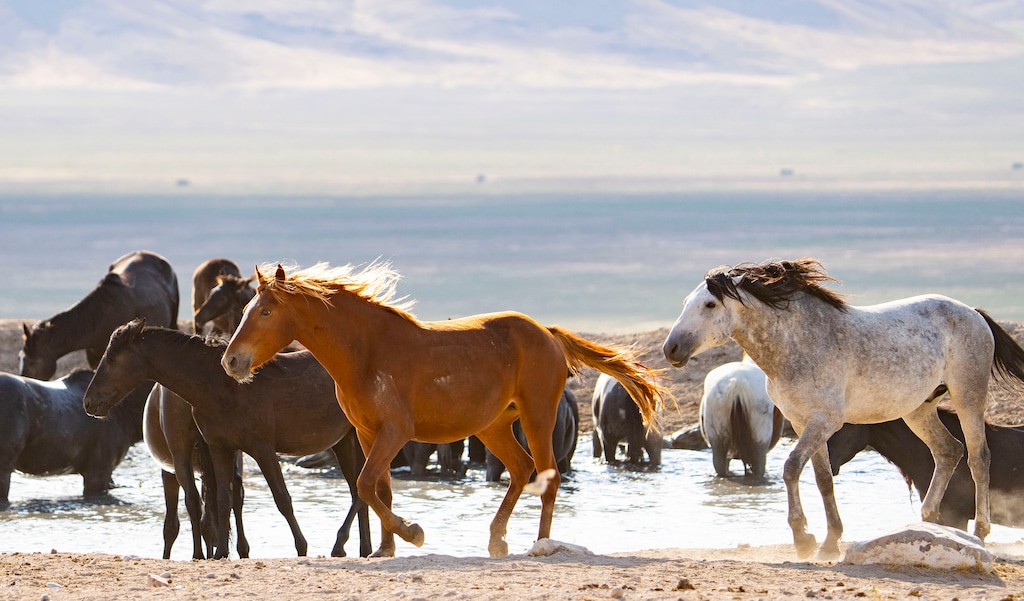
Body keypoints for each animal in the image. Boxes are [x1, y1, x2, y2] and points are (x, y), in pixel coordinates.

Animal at [83, 319, 372, 559]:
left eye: (112, 359)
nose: (89, 401)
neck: (223, 387)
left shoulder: (263, 449)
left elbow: (282, 499)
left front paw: (301, 548)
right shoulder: (220, 448)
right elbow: (223, 501)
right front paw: (221, 552)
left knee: (361, 488)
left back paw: (341, 544)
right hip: (345, 441)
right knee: (358, 488)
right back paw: (363, 548)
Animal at [221, 261, 666, 558]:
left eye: (265, 311)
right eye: (244, 310)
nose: (231, 362)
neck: (367, 353)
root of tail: (549, 334)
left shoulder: (395, 432)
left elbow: (365, 485)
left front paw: (412, 533)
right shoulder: (368, 433)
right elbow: (379, 487)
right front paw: (385, 549)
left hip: (537, 416)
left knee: (548, 477)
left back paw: (539, 544)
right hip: (493, 426)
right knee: (522, 470)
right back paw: (497, 539)